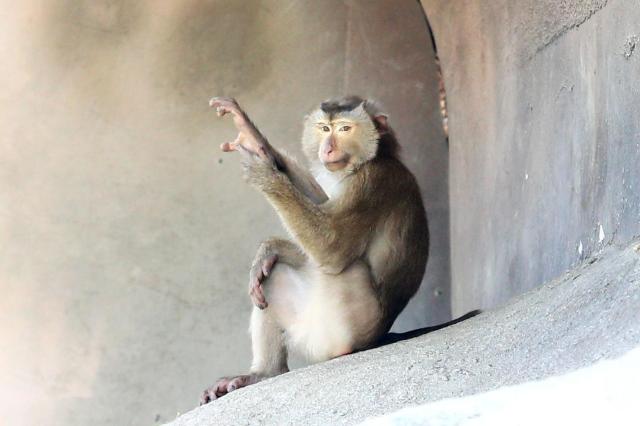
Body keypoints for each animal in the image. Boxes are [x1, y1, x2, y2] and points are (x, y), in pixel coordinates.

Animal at [200, 95, 430, 404]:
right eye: (323, 129)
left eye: (344, 128)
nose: (327, 148)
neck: (375, 157)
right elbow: (320, 208)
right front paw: (255, 139)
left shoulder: (372, 182)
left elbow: (331, 249)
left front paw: (265, 174)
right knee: (269, 277)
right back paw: (264, 373)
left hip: (340, 323)